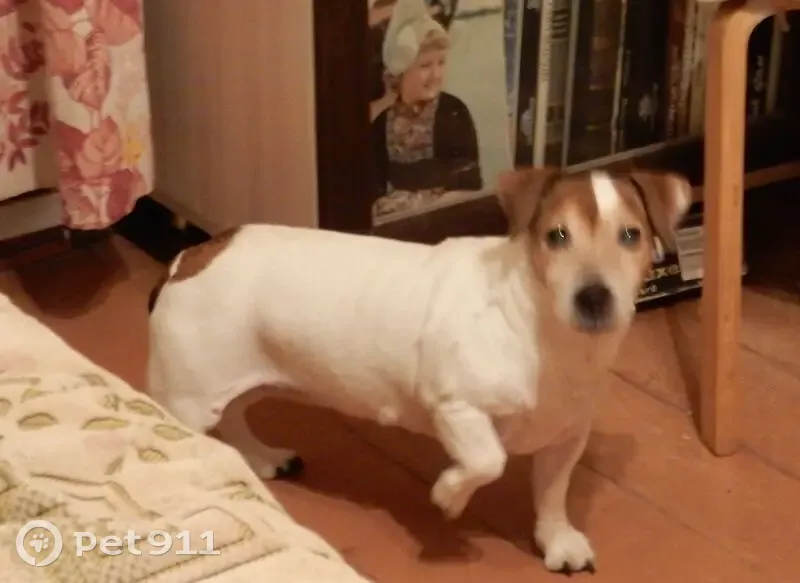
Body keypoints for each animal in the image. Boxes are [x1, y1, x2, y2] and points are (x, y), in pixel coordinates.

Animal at [146, 167, 691, 574]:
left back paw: (259, 459)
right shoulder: (456, 407)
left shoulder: (566, 436)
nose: (594, 297)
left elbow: (553, 494)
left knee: (235, 420)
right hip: (186, 399)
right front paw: (449, 497)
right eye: (557, 236)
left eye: (631, 235)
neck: (548, 336)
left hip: (246, 381)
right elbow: (488, 460)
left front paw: (557, 542)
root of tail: (192, 254)